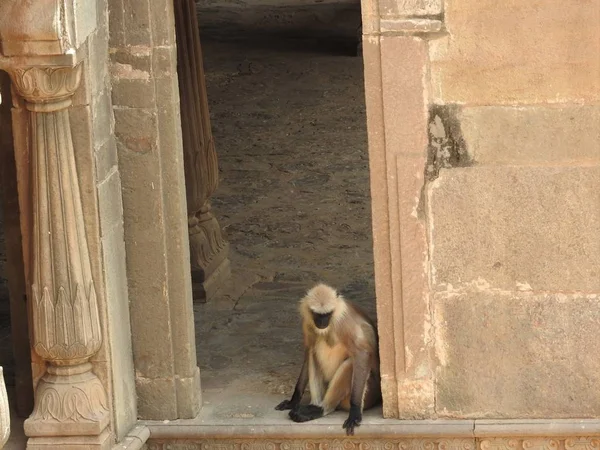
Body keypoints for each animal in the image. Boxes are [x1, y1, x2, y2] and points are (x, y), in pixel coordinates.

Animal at [276, 284, 380, 434]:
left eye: (327, 315)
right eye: (317, 315)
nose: (321, 322)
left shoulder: (344, 321)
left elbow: (362, 354)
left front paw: (355, 413)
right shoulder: (308, 322)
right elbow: (308, 351)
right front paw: (293, 401)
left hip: (369, 392)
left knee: (350, 363)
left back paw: (321, 409)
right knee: (314, 351)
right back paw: (313, 406)